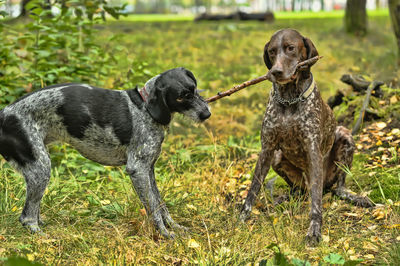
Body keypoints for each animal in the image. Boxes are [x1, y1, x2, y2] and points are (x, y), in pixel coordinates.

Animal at [0, 67, 211, 238]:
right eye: (181, 97)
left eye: (194, 89)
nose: (206, 114)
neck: (144, 107)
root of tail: (3, 114)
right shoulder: (138, 170)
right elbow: (153, 208)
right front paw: (164, 234)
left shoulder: (149, 169)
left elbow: (160, 204)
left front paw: (175, 227)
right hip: (41, 168)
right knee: (27, 217)